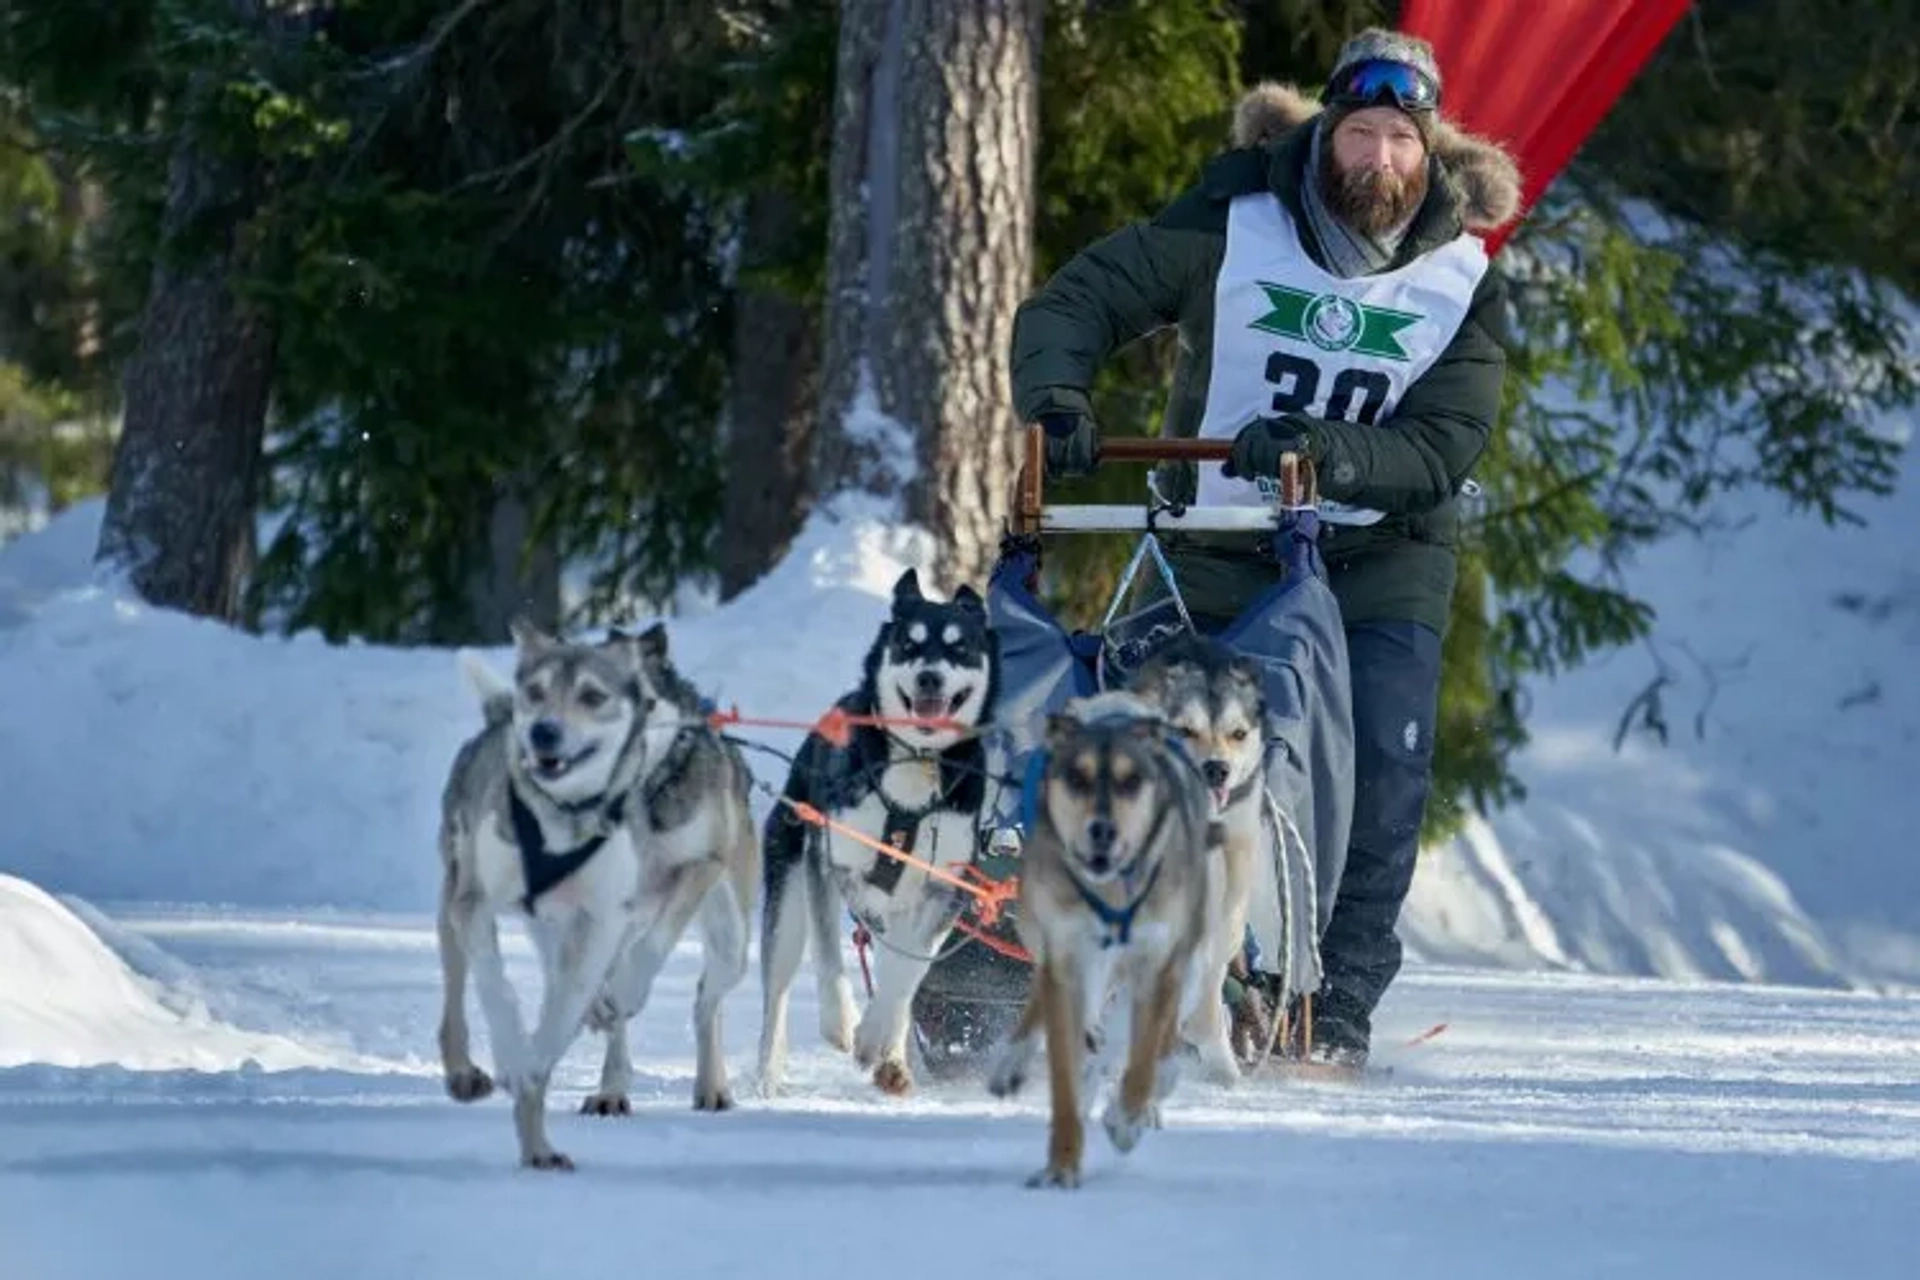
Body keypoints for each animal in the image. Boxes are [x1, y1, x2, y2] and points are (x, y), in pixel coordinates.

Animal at [435, 621, 756, 1174]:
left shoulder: (695, 869)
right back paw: (598, 1083)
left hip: (730, 939)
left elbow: (649, 955)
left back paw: (708, 1082)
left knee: (704, 1000)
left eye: (636, 699)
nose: (544, 733)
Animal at [756, 571, 1006, 1105]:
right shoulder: (832, 864)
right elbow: (830, 954)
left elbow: (907, 974)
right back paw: (767, 1073)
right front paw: (845, 1024)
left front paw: (878, 1039)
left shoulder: (943, 891)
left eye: (959, 647)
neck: (915, 761)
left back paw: (894, 1057)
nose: (929, 676)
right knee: (779, 987)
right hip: (790, 894)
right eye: (909, 643)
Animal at [983, 690, 1221, 1189]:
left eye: (1132, 782)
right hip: (1046, 934)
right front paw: (1061, 1165)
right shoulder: (1067, 955)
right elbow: (1066, 1073)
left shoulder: (1161, 964)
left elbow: (1145, 1061)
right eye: (1077, 777)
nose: (1102, 830)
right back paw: (1017, 1060)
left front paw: (1127, 1117)